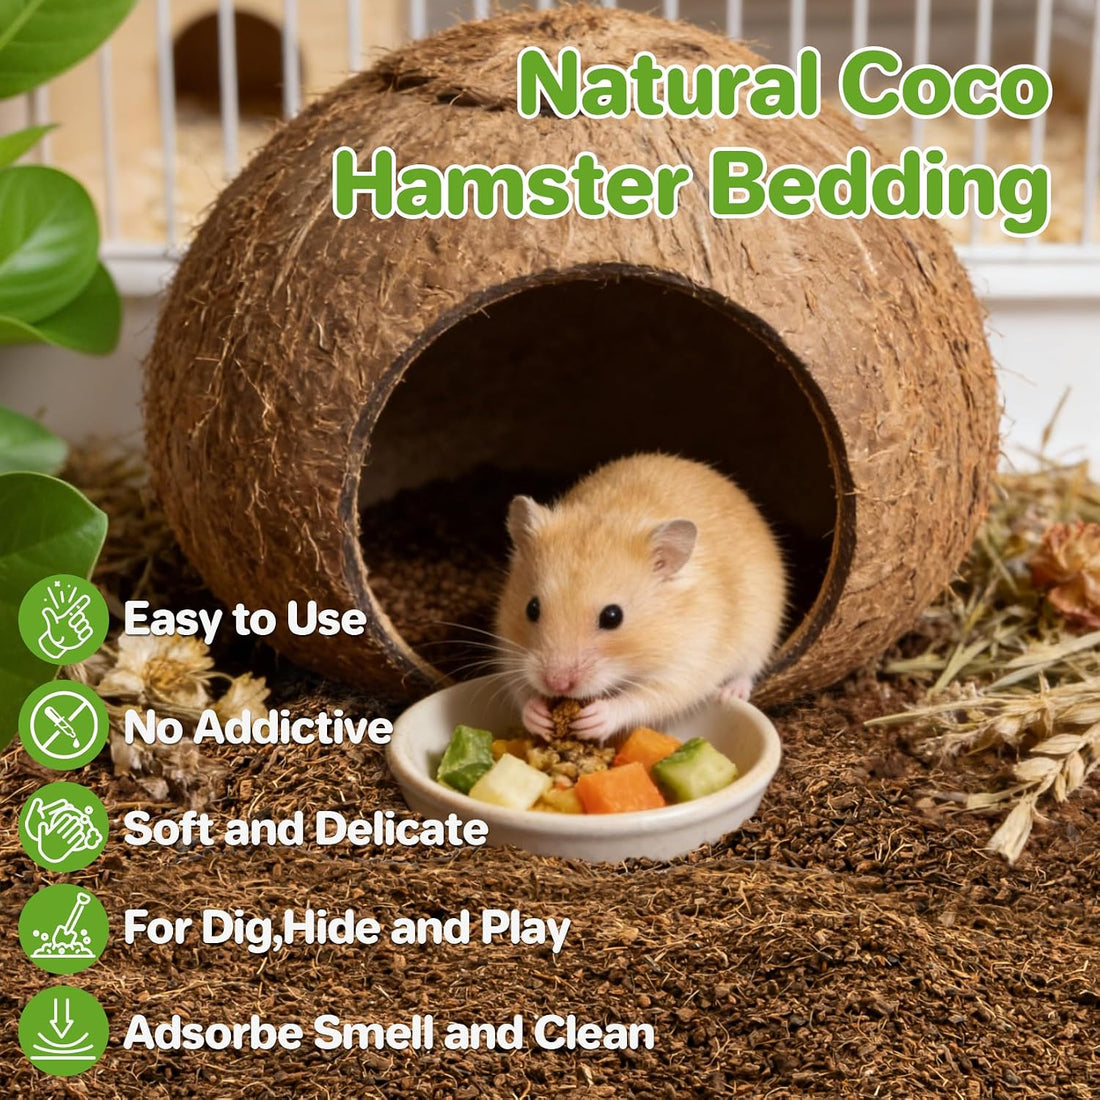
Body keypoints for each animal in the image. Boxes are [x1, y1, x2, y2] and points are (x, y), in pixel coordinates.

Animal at [495, 453, 788, 742]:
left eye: (613, 617)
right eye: (532, 608)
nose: (557, 684)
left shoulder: (687, 666)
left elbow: (644, 699)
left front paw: (595, 718)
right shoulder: (510, 652)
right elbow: (520, 689)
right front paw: (537, 715)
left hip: (760, 633)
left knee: (748, 670)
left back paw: (728, 694)